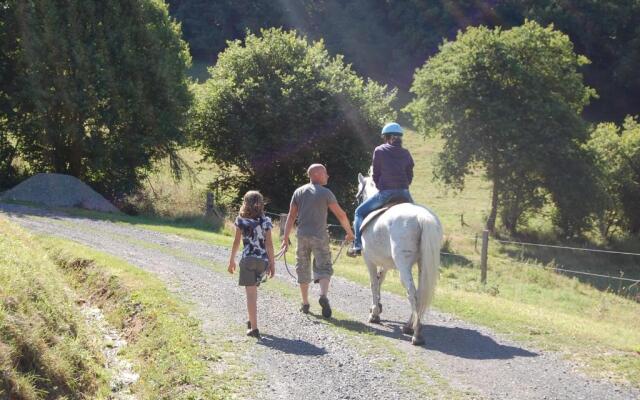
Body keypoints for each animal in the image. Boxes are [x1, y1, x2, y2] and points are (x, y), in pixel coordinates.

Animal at [358, 173, 442, 346]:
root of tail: (422, 217)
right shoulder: (385, 264)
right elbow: (380, 281)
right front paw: (377, 308)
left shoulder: (369, 260)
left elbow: (373, 284)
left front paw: (374, 314)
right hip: (423, 265)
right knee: (419, 294)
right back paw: (410, 326)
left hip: (404, 267)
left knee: (412, 293)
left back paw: (416, 333)